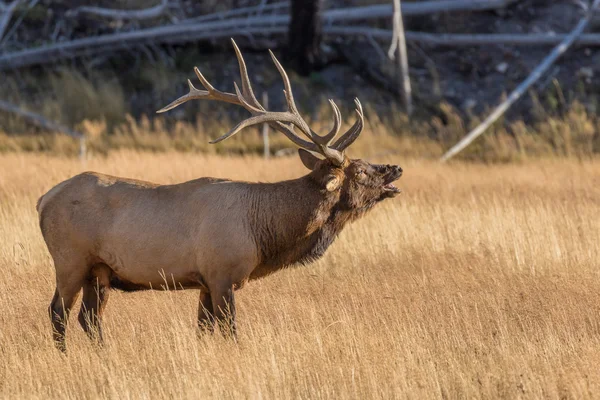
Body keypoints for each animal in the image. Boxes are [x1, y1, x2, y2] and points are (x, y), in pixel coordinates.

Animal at [37, 39, 404, 350]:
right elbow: (230, 333)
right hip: (70, 260)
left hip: (99, 271)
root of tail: (43, 200)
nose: (395, 169)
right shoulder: (222, 274)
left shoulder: (205, 283)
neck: (264, 233)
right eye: (359, 170)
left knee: (89, 318)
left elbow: (203, 331)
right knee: (58, 312)